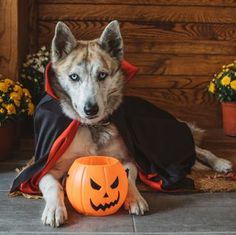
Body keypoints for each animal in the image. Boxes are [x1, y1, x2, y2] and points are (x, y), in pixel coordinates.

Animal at [38, 20, 232, 228]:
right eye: (74, 77)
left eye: (102, 75)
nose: (91, 109)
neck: (93, 127)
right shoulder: (44, 168)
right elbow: (53, 186)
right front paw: (54, 209)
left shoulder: (129, 159)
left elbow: (126, 176)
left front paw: (135, 198)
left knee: (199, 150)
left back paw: (220, 163)